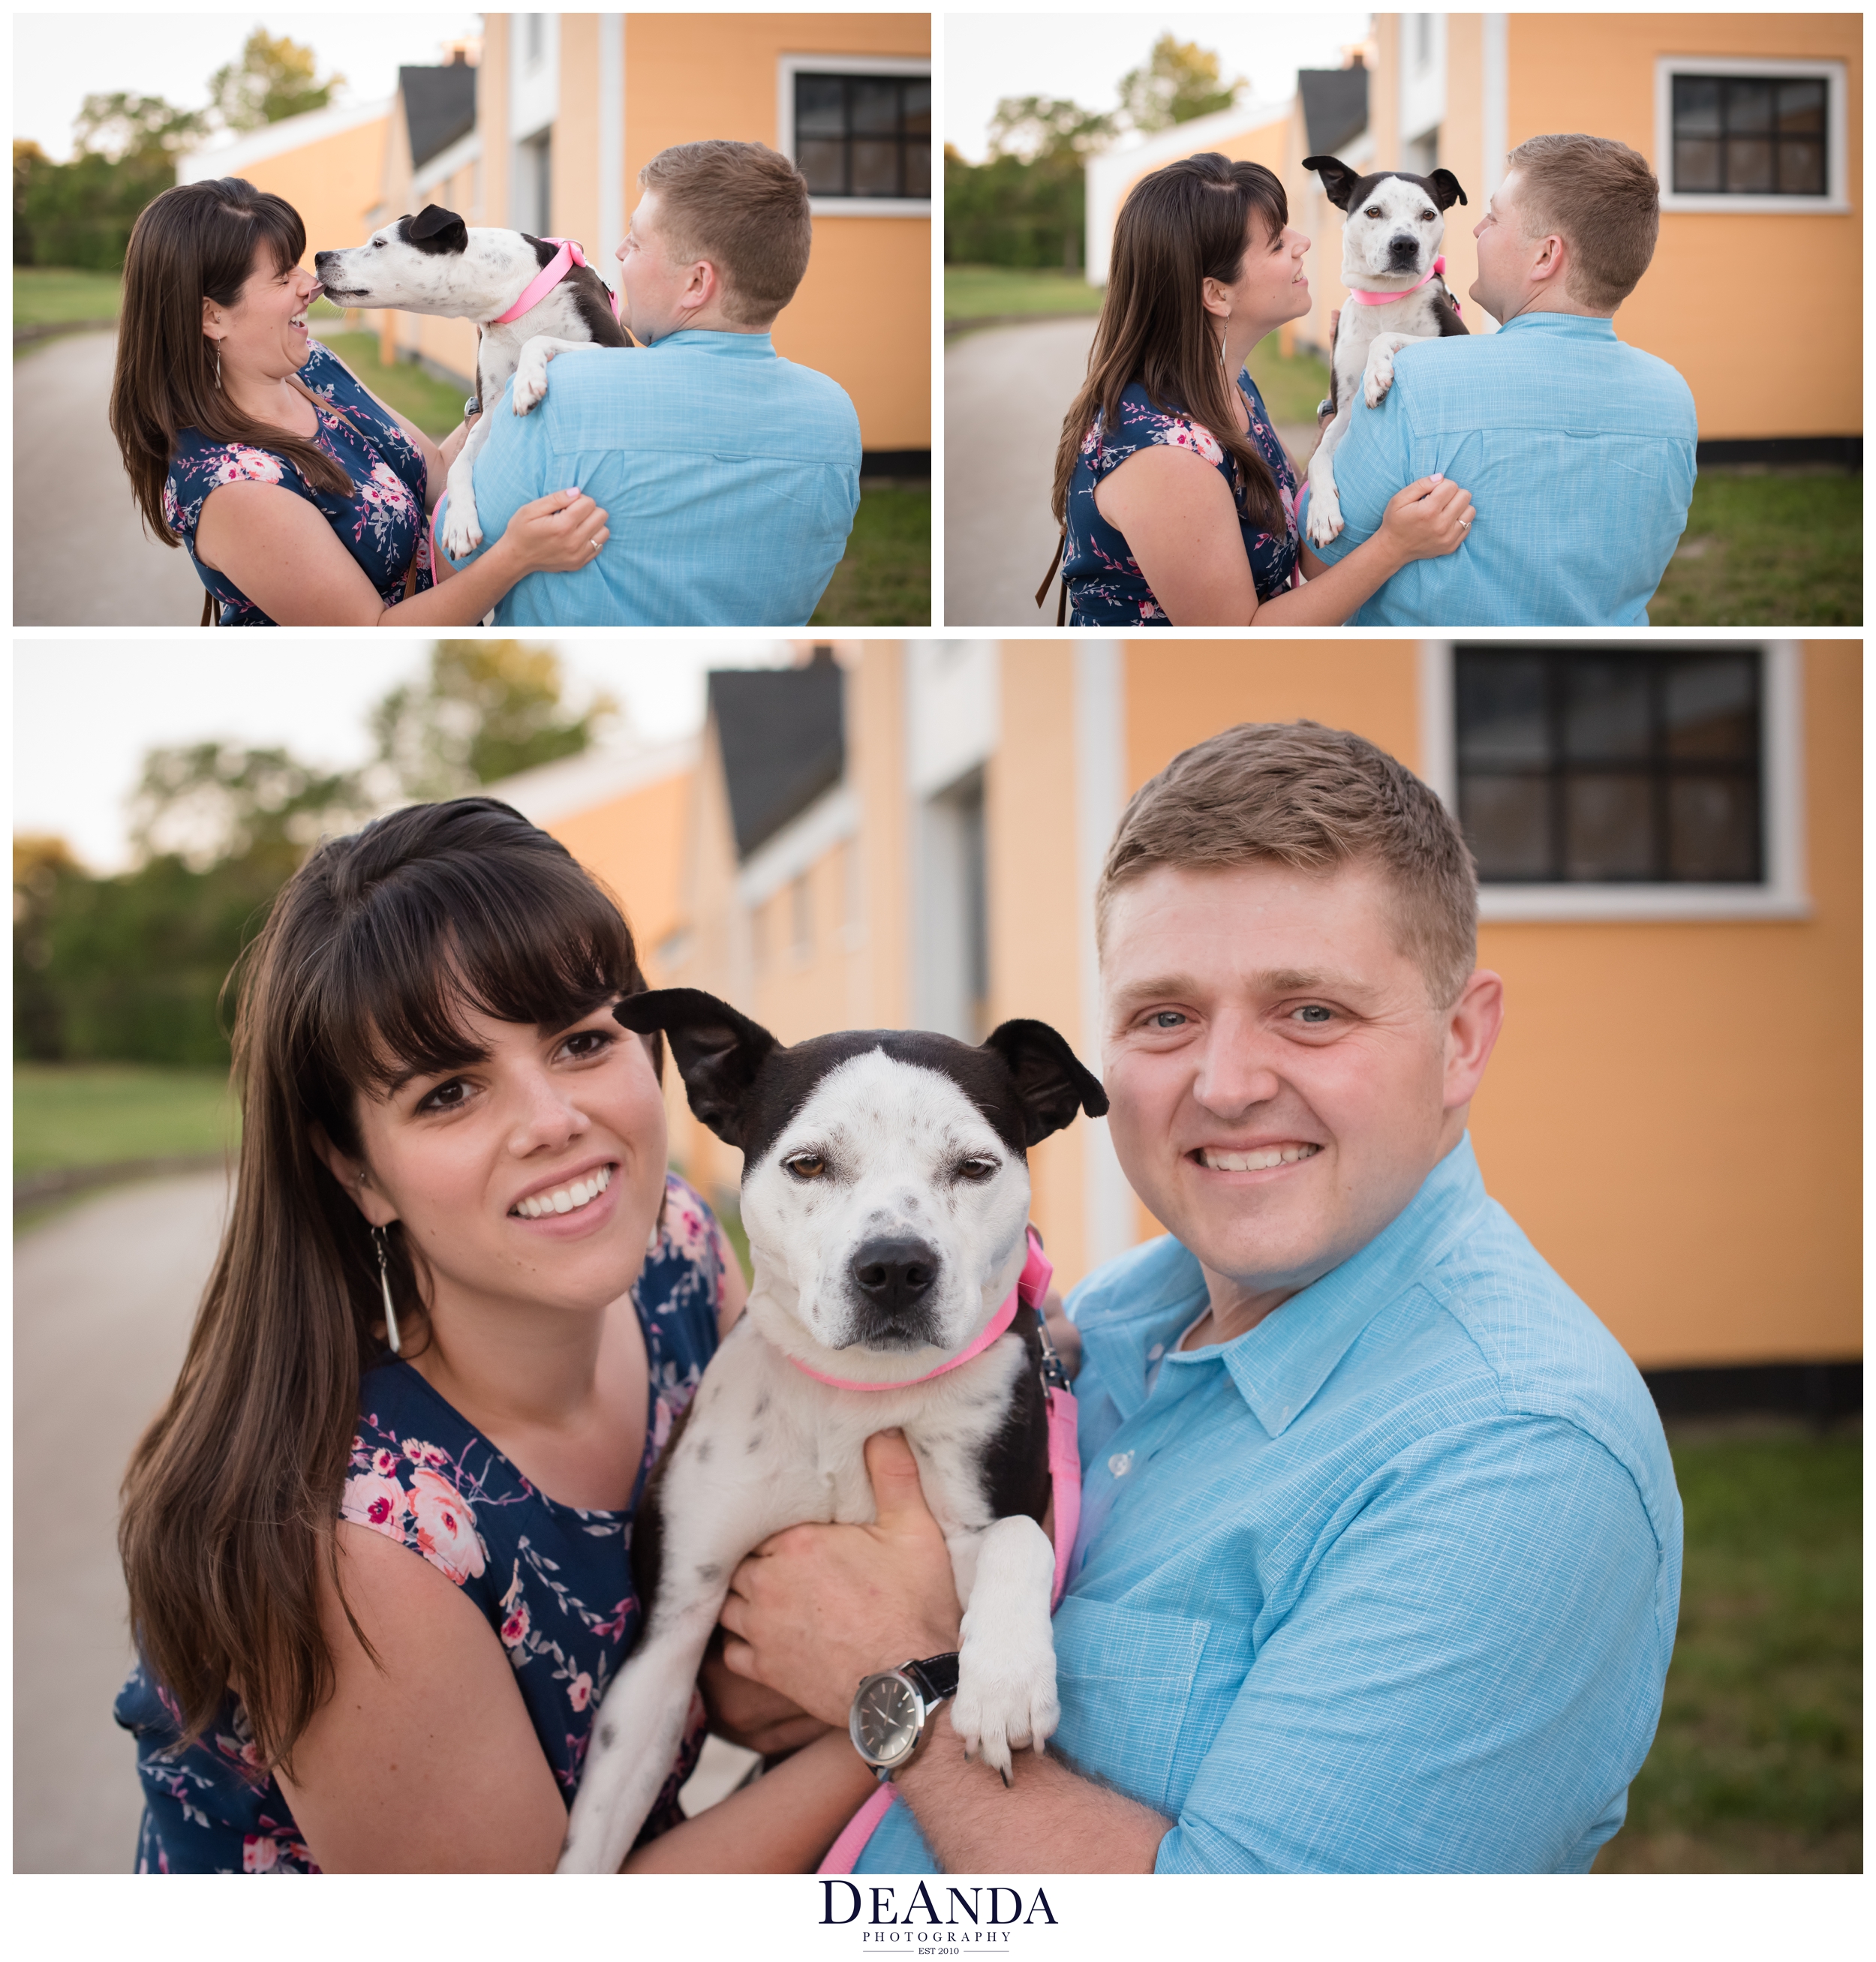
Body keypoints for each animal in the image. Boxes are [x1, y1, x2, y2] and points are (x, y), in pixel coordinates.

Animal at [310, 208, 632, 560]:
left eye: (380, 243)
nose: (319, 256)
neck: (516, 295)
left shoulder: (616, 347)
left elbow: (537, 340)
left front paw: (526, 383)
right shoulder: (490, 409)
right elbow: (459, 463)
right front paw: (459, 522)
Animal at [557, 988, 1114, 1875]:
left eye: (974, 1167)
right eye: (809, 1164)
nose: (894, 1267)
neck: (862, 1394)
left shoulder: (991, 1510)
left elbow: (1018, 1535)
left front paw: (1004, 1678)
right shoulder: (668, 1638)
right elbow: (596, 1828)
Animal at [1294, 154, 1475, 549]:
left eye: (1428, 214)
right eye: (1374, 211)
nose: (1405, 244)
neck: (1385, 298)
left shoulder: (1459, 339)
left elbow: (1387, 338)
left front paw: (1377, 375)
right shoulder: (1345, 408)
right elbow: (1318, 455)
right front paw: (1321, 512)